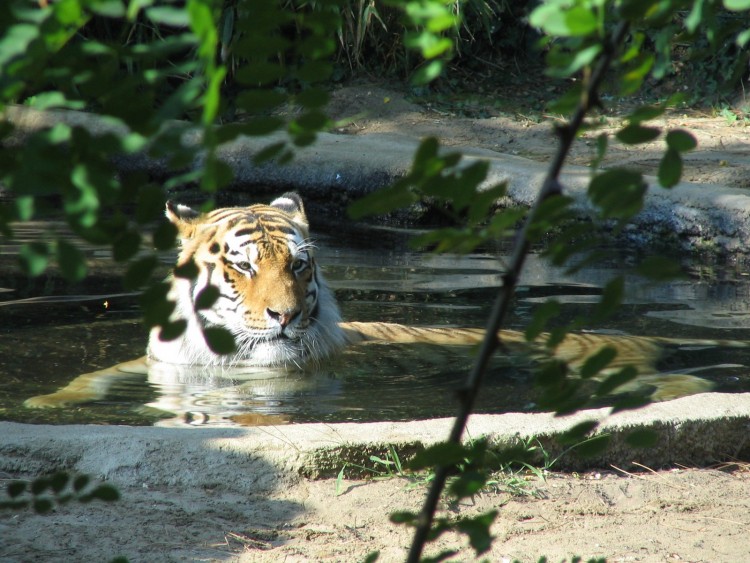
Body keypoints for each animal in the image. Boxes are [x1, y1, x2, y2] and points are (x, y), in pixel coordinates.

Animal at [23, 192, 748, 420]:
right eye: (244, 266)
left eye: (299, 266)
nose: (285, 315)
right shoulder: (161, 367)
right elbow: (96, 375)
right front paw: (41, 401)